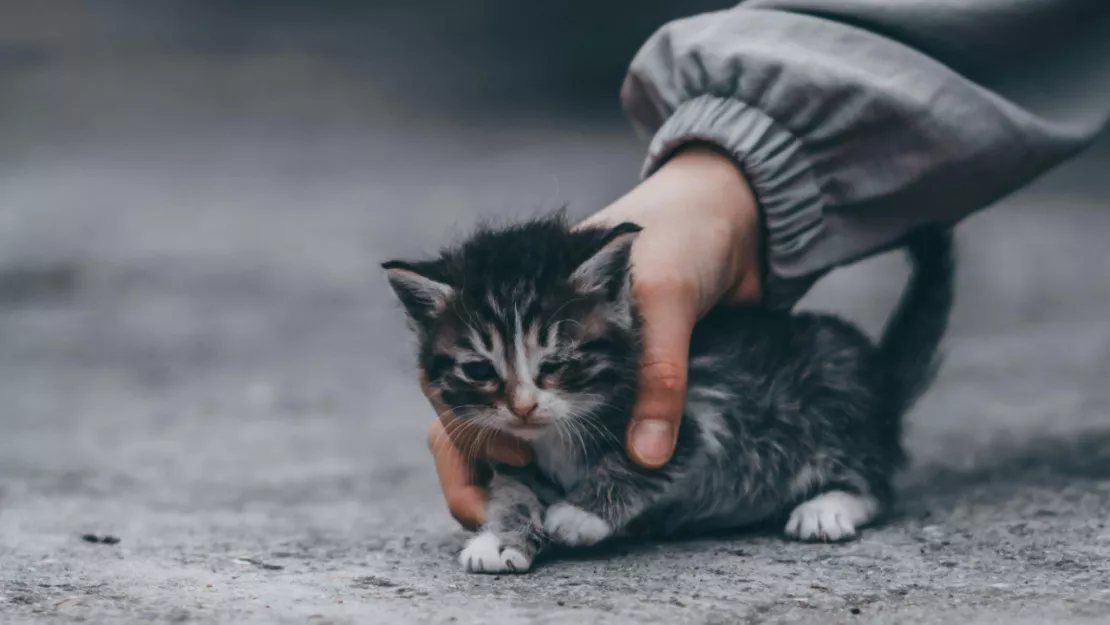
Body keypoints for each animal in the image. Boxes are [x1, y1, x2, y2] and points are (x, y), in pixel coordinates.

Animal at [384, 213, 954, 572]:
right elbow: (513, 490)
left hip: (837, 391)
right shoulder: (509, 447)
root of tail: (881, 376)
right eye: (480, 370)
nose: (523, 407)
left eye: (556, 364)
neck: (558, 431)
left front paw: (580, 513)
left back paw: (827, 507)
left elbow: (635, 463)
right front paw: (503, 538)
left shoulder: (687, 419)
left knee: (874, 482)